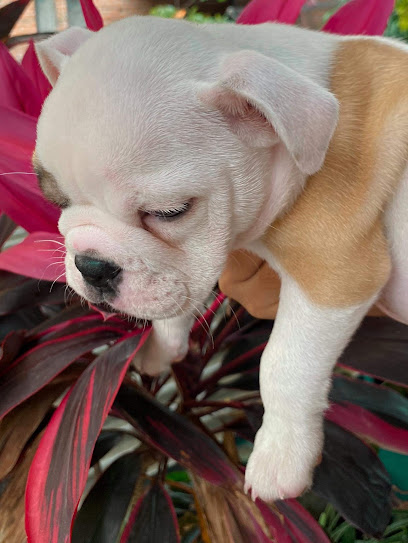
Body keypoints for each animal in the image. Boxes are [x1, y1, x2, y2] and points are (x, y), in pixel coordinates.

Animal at [33, 16, 408, 502]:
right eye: (53, 198)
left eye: (170, 212)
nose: (92, 265)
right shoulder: (191, 263)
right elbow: (174, 300)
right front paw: (162, 348)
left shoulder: (336, 275)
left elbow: (285, 364)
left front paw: (281, 455)